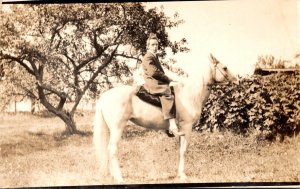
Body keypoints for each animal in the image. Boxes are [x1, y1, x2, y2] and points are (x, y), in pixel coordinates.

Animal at [92, 54, 238, 183]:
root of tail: (104, 96)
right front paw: (183, 175)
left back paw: (113, 175)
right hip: (117, 128)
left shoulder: (181, 130)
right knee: (112, 149)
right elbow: (183, 150)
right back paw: (119, 178)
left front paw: (179, 173)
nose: (237, 80)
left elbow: (180, 150)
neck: (190, 93)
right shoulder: (187, 127)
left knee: (108, 149)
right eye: (225, 68)